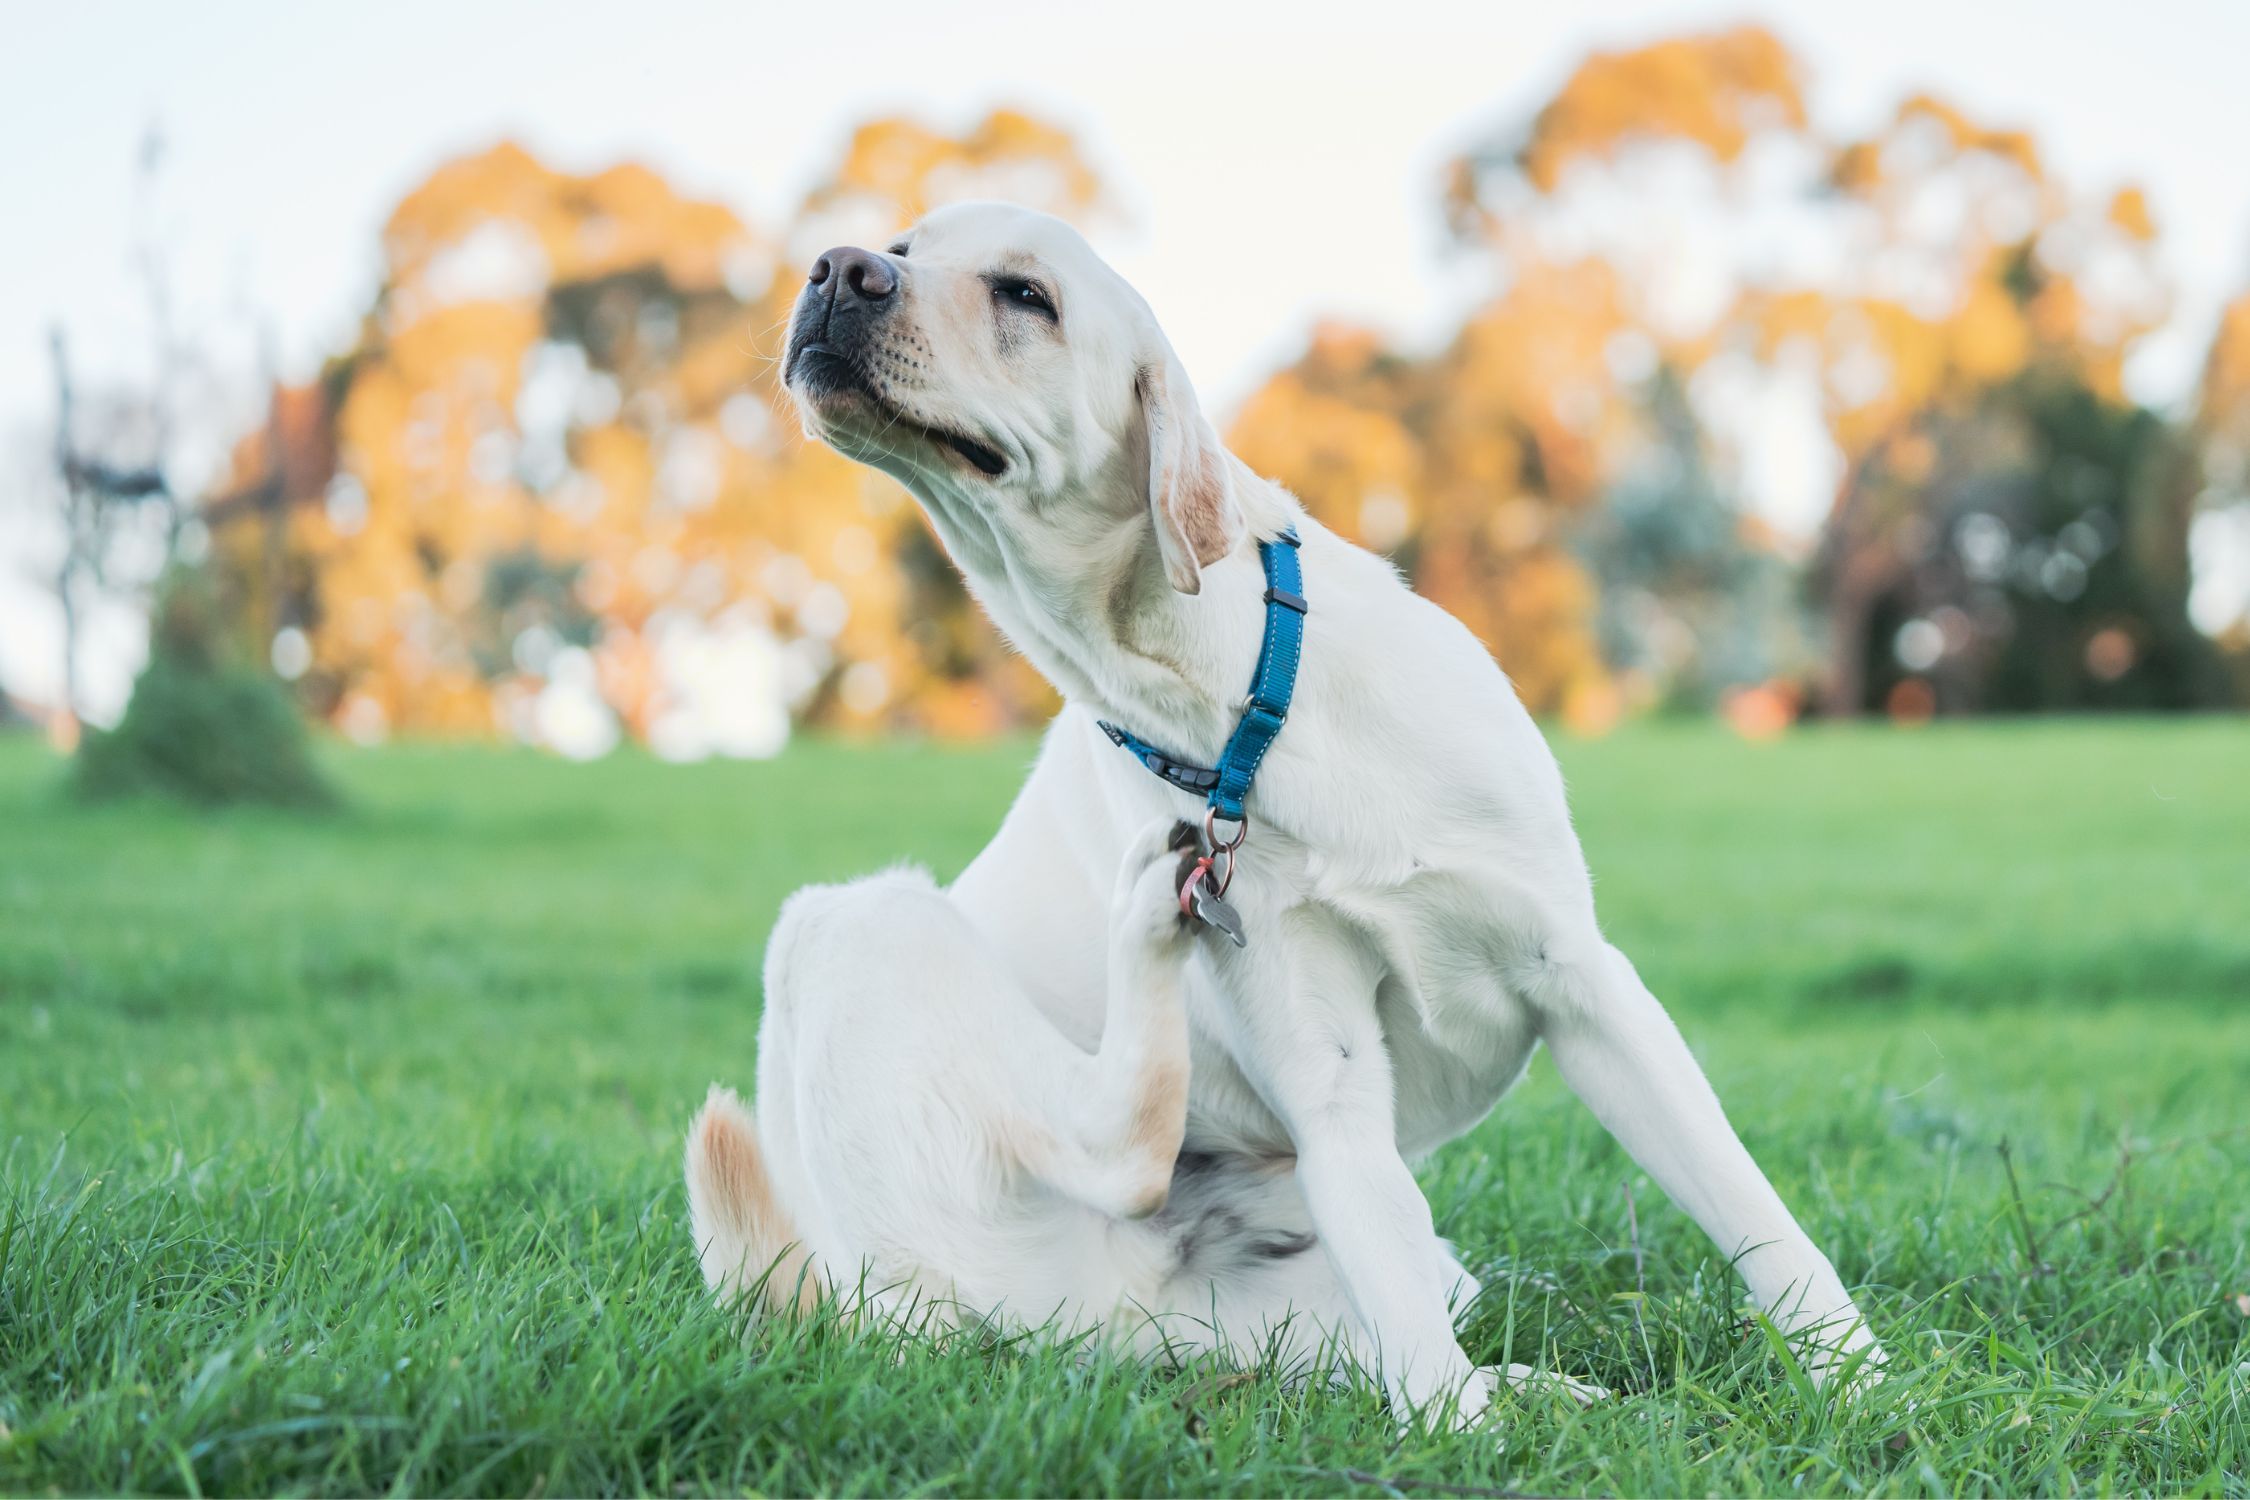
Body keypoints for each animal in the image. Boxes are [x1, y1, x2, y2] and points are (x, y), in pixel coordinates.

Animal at [684, 202, 1881, 1430]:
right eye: (902, 247)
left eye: (1025, 295)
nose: (836, 268)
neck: (1243, 708)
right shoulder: (1329, 1077)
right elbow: (1422, 1354)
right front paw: (1462, 1441)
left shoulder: (1586, 984)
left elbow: (1755, 1214)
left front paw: (1862, 1385)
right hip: (849, 924)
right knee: (1124, 1150)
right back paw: (1144, 923)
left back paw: (1559, 1394)